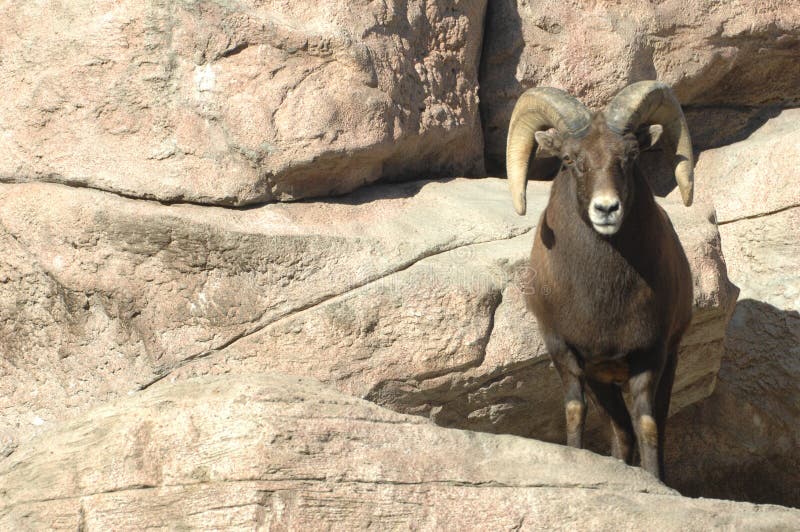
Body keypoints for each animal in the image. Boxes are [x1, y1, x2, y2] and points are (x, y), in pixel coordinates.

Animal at [510, 81, 692, 480]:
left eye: (631, 155)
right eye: (568, 159)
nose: (606, 209)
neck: (602, 298)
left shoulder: (651, 354)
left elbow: (648, 425)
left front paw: (653, 481)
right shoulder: (564, 350)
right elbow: (575, 413)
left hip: (664, 364)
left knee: (648, 425)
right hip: (602, 382)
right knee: (620, 432)